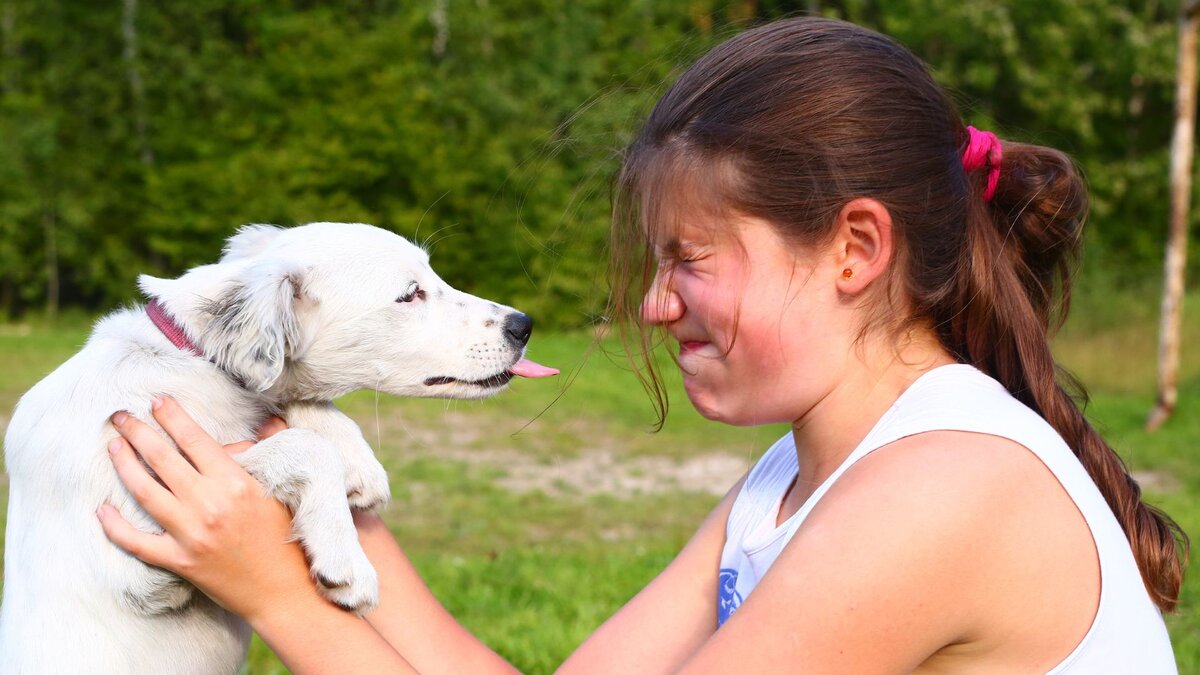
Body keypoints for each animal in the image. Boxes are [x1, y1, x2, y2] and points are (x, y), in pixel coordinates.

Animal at [0, 222, 554, 672]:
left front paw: (358, 464)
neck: (196, 360)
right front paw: (347, 561)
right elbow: (304, 447)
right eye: (409, 295)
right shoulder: (136, 544)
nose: (524, 324)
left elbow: (297, 406)